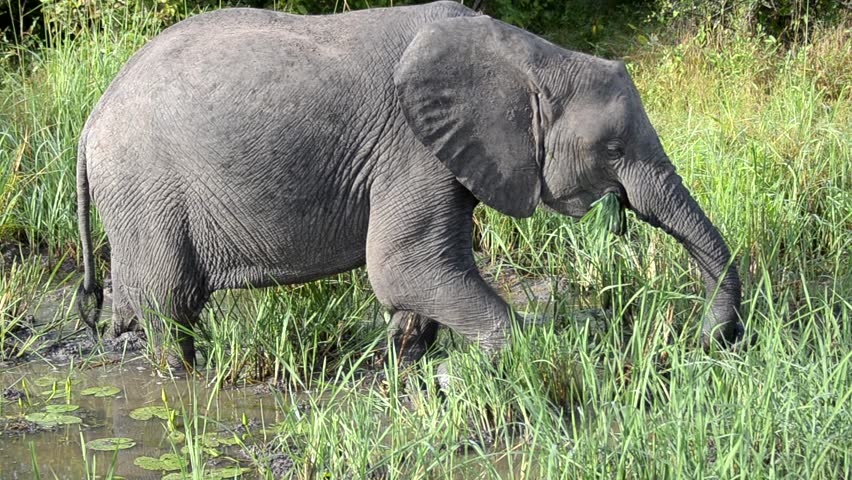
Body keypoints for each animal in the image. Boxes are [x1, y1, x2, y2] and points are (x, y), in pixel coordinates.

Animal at [76, 1, 743, 368]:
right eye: (613, 150)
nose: (714, 339)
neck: (529, 57)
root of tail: (92, 119)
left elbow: (418, 277)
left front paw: (400, 362)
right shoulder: (410, 149)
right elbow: (404, 265)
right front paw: (548, 349)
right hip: (145, 188)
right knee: (170, 308)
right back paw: (178, 376)